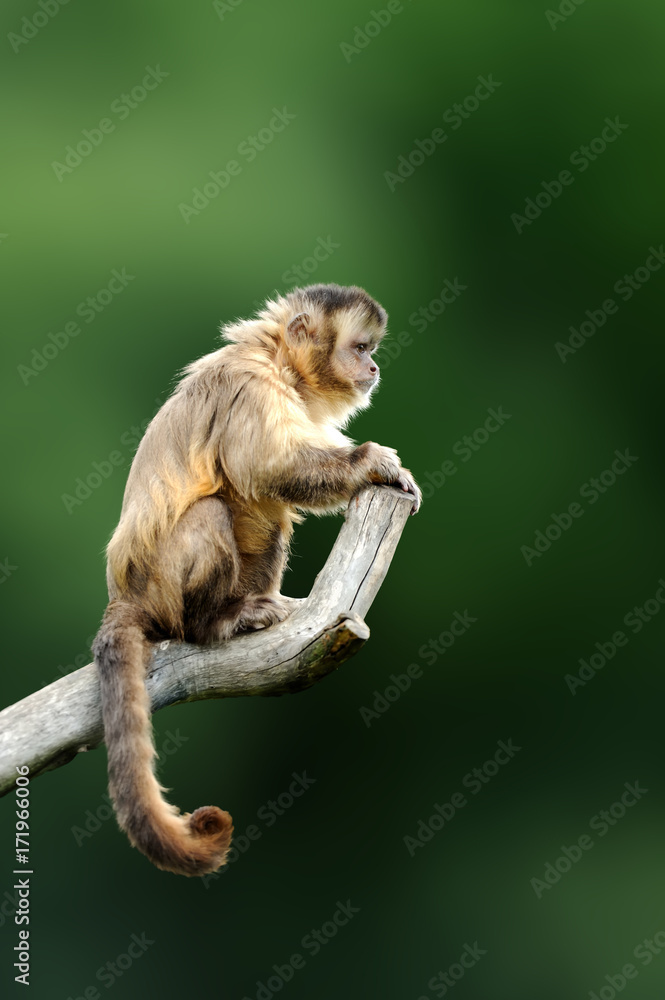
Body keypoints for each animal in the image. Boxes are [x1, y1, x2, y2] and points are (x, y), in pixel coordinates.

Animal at [93, 282, 420, 876]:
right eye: (361, 347)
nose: (374, 365)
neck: (281, 364)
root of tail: (122, 595)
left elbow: (272, 484)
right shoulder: (253, 387)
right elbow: (268, 468)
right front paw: (373, 463)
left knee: (265, 514)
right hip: (159, 589)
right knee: (215, 511)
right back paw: (213, 623)